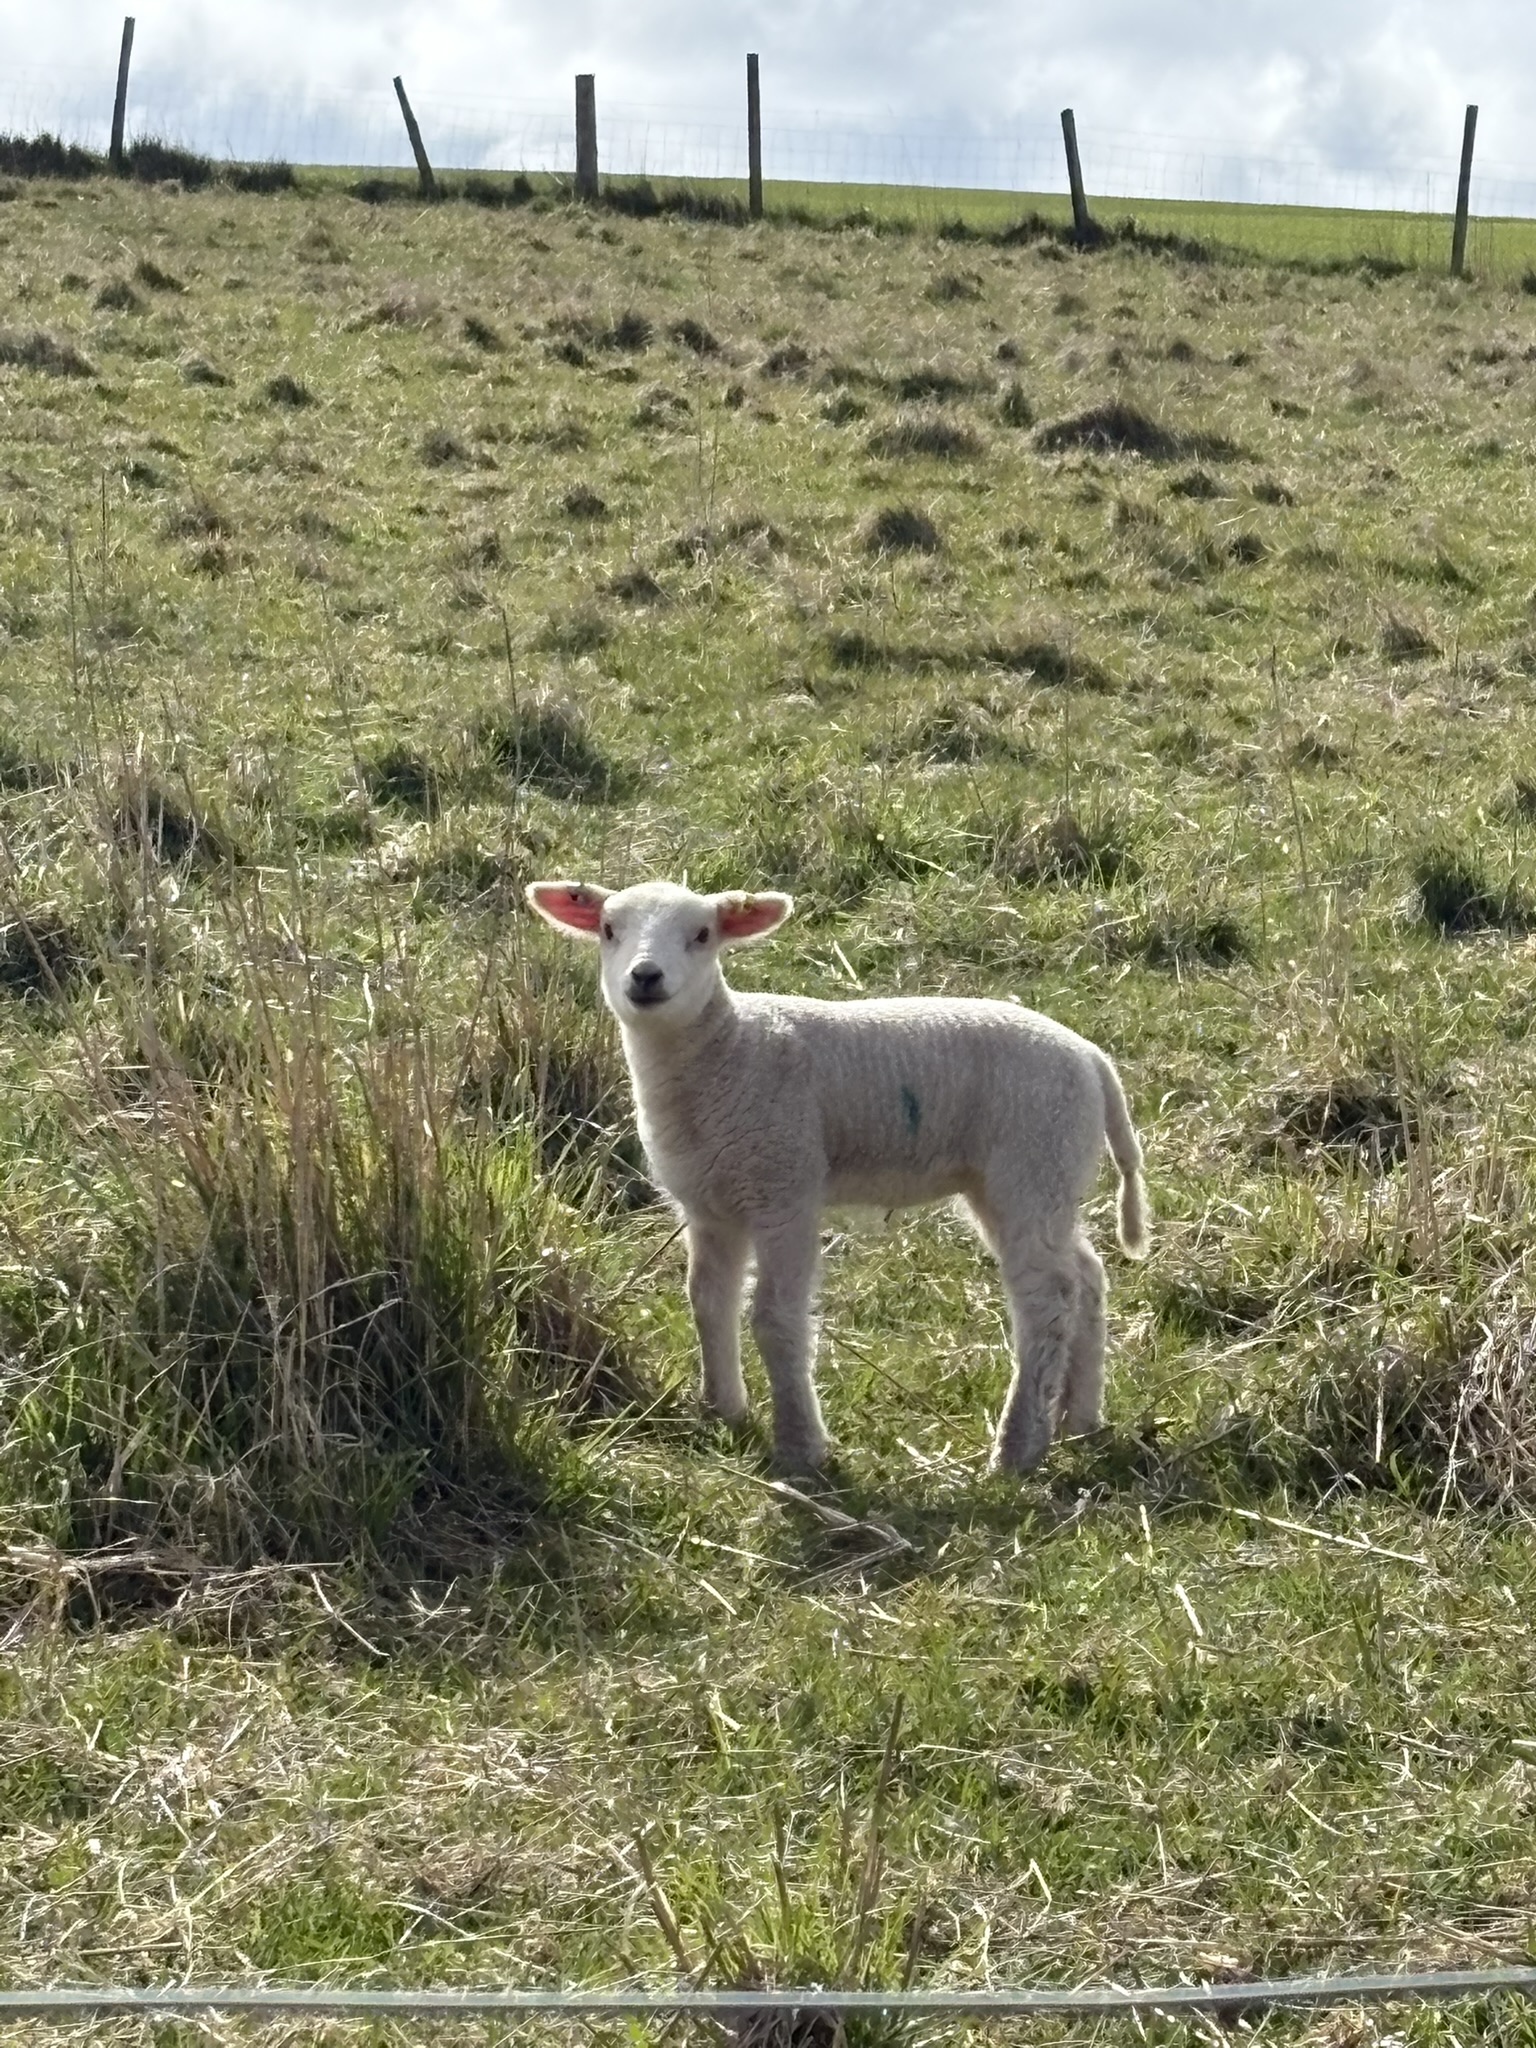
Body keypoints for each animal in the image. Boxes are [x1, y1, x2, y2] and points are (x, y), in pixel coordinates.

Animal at [526, 877, 1148, 1475]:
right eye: (609, 929)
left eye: (703, 935)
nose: (646, 976)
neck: (728, 1052)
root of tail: (1092, 1059)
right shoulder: (709, 1206)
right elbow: (706, 1301)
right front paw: (721, 1410)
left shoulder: (785, 1188)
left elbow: (775, 1318)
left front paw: (800, 1446)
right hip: (1043, 1178)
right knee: (1086, 1277)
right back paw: (1078, 1417)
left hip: (1031, 1162)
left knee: (1047, 1301)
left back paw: (1018, 1448)